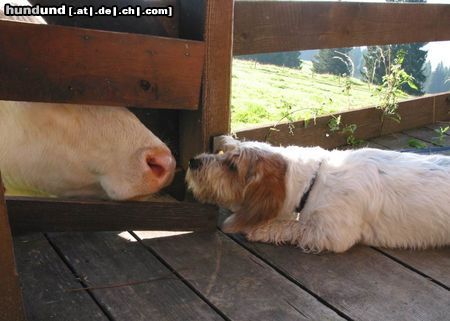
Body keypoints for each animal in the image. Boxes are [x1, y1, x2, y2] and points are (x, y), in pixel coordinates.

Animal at [186, 135, 450, 252]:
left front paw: (258, 229)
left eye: (233, 166)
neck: (314, 183)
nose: (193, 161)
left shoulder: (332, 233)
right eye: (225, 154)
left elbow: (291, 226)